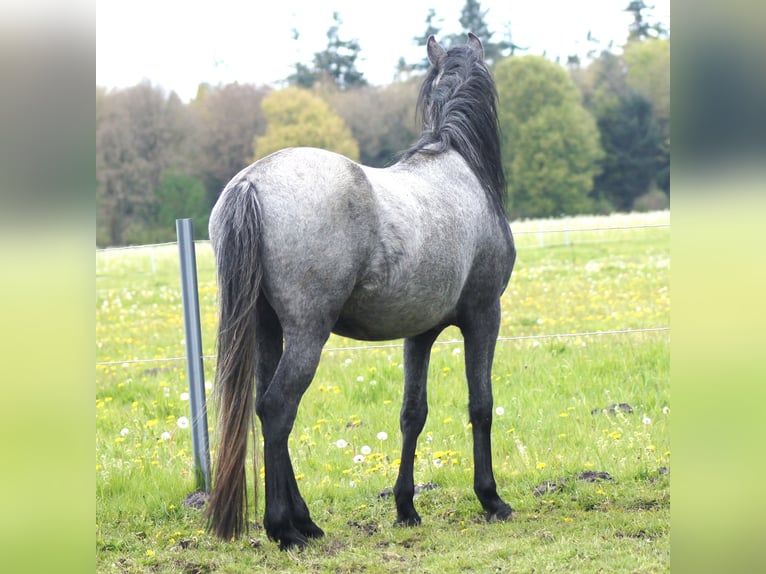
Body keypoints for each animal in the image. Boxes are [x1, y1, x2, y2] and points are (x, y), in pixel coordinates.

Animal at [206, 32, 516, 552]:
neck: (458, 166)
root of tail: (251, 182)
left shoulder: (420, 332)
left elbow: (413, 413)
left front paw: (406, 507)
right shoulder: (483, 316)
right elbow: (481, 404)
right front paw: (491, 499)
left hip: (266, 328)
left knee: (267, 409)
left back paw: (305, 521)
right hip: (308, 333)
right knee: (277, 408)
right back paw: (283, 528)